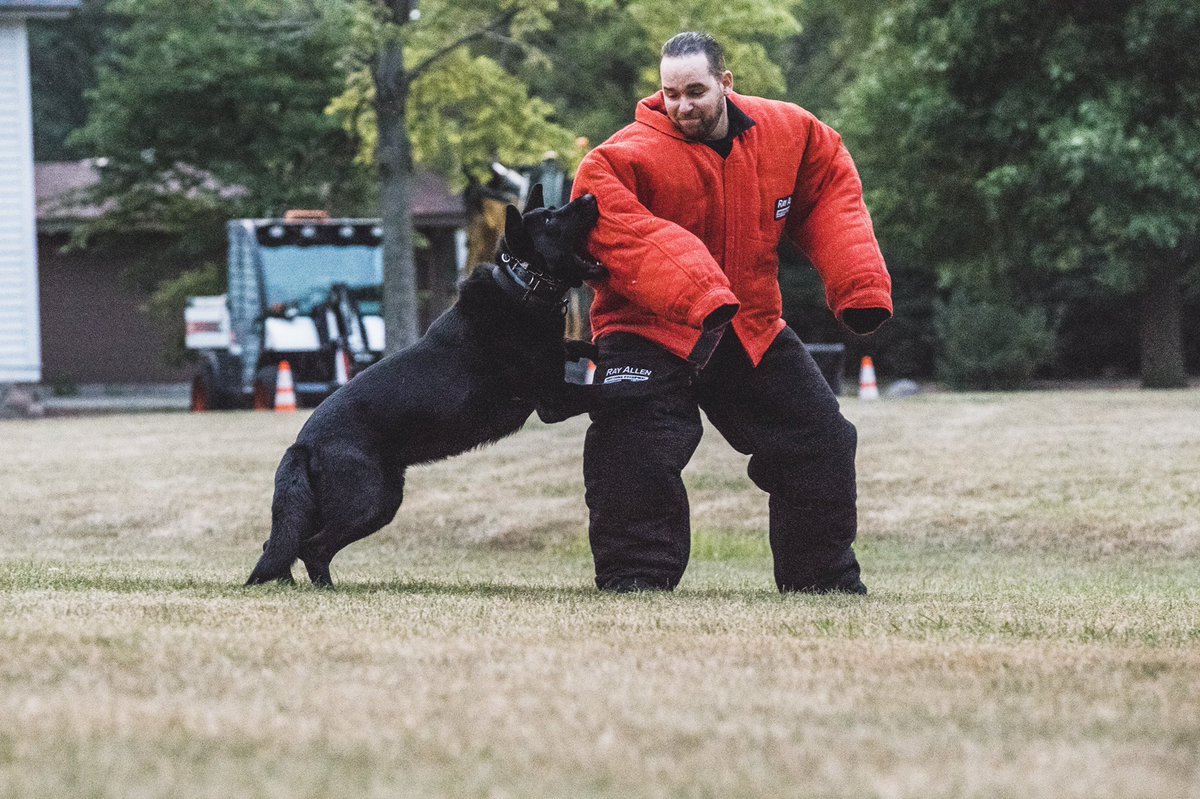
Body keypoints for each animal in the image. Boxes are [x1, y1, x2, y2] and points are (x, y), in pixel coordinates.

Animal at [246, 187, 600, 585]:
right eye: (552, 219)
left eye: (556, 209)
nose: (589, 197)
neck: (522, 286)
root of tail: (302, 445)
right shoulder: (555, 401)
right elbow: (605, 391)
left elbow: (574, 346)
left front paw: (597, 348)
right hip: (369, 501)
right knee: (312, 547)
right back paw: (325, 589)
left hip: (360, 502)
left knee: (281, 543)